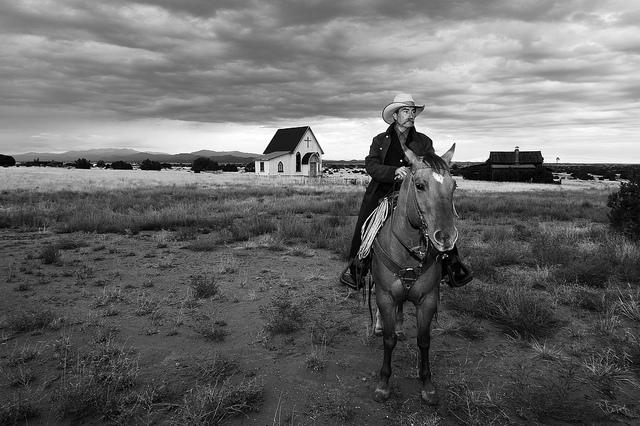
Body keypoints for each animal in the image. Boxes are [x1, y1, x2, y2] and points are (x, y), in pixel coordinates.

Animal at [370, 142, 460, 402]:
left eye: (454, 186)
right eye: (420, 185)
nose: (446, 237)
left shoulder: (428, 299)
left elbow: (424, 341)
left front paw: (427, 384)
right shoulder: (386, 296)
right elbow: (388, 340)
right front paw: (383, 384)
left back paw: (400, 327)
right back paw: (379, 326)